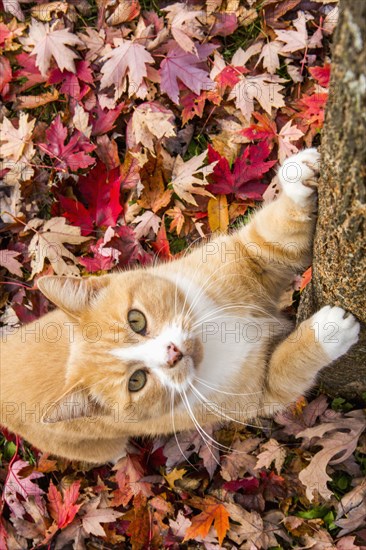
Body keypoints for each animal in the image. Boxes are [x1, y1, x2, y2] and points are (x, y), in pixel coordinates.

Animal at [0, 149, 358, 464]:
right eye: (136, 382)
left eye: (136, 320)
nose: (172, 353)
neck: (213, 336)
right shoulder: (261, 394)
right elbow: (287, 367)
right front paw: (327, 331)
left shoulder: (248, 255)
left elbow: (273, 233)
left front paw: (296, 174)